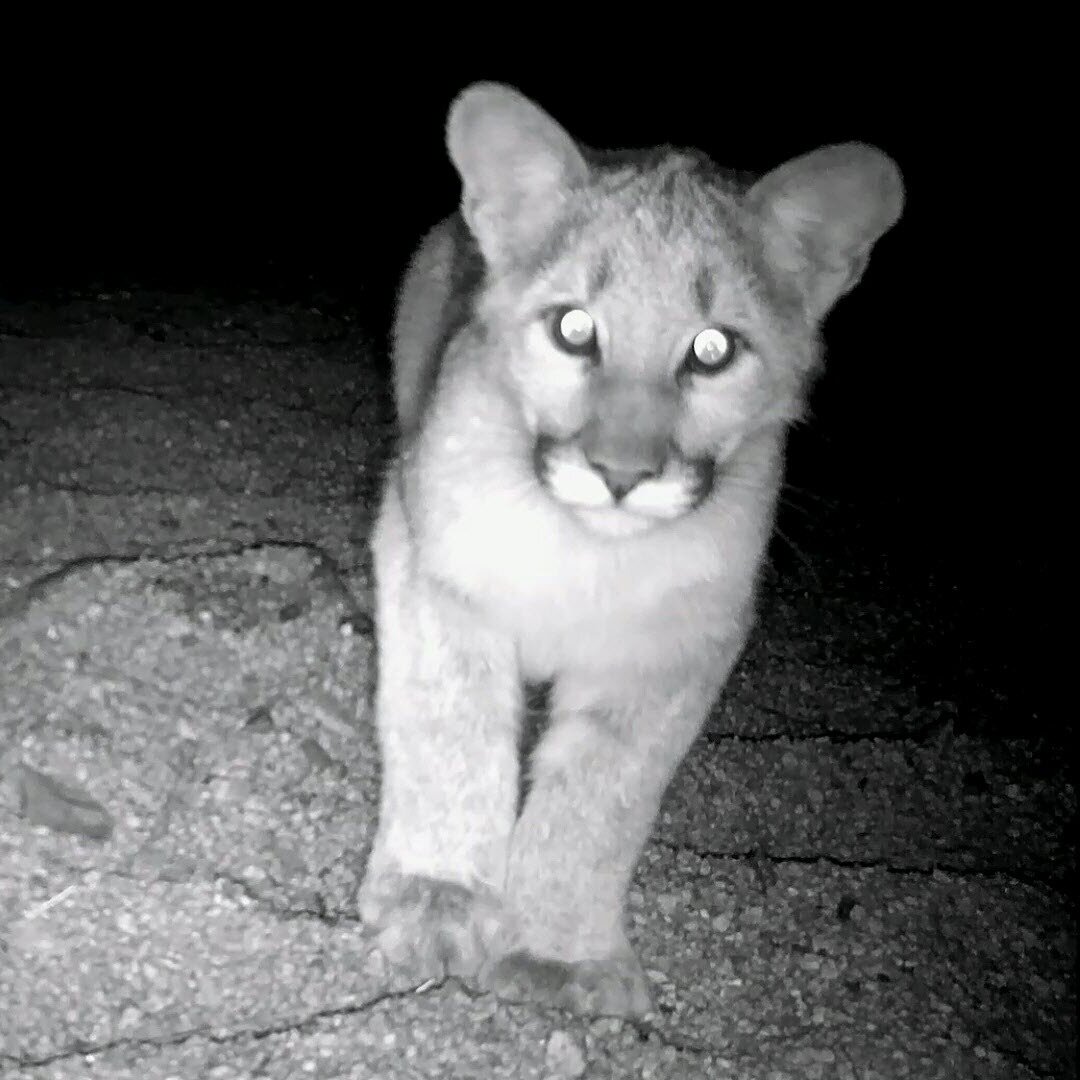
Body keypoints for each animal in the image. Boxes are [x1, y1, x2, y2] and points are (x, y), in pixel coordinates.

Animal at [360, 79, 902, 1015]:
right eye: (574, 329)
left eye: (713, 350)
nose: (621, 473)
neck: (587, 556)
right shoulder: (435, 566)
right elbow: (448, 731)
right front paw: (438, 900)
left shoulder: (675, 642)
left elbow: (600, 797)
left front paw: (557, 954)